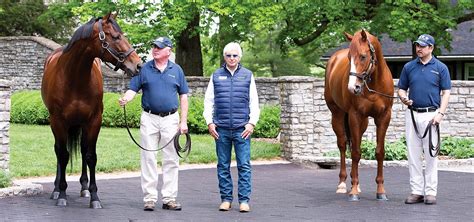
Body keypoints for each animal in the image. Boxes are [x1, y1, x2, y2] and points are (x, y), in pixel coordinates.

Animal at [41, 12, 142, 208]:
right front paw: (62, 193)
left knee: (82, 149)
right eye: (116, 37)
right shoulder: (58, 122)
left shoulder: (94, 121)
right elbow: (63, 155)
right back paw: (56, 189)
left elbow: (91, 156)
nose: (139, 65)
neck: (74, 78)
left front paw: (94, 196)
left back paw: (84, 187)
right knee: (58, 150)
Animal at [324, 29, 394, 201]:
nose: (352, 87)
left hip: (363, 123)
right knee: (343, 145)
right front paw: (354, 191)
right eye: (349, 58)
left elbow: (379, 152)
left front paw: (381, 191)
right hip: (338, 115)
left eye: (363, 56)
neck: (374, 85)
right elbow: (355, 153)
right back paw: (343, 184)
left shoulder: (384, 117)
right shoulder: (354, 116)